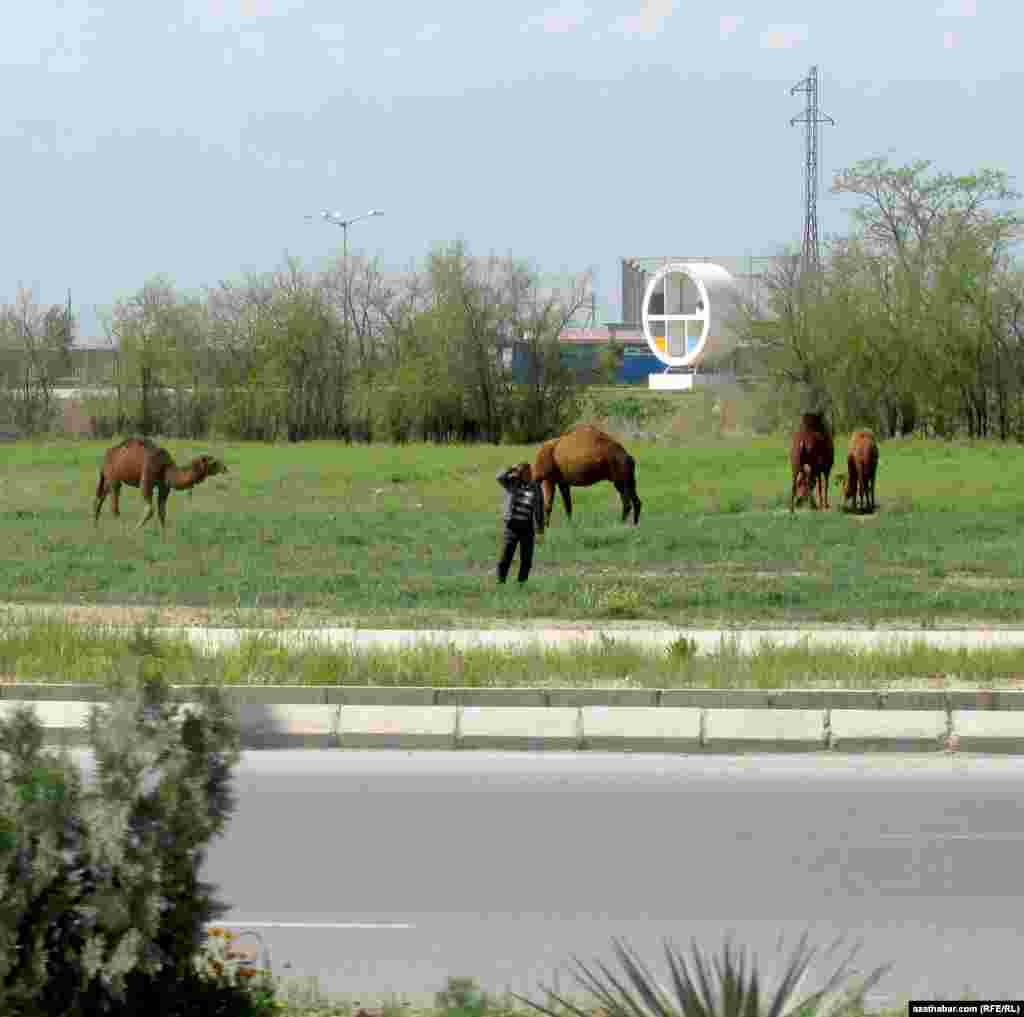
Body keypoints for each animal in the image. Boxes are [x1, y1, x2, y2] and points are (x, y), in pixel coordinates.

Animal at [94, 436, 230, 532]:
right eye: (214, 463)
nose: (225, 468)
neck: (166, 467)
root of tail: (106, 455)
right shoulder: (147, 479)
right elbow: (150, 509)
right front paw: (135, 530)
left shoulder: (164, 486)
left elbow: (162, 511)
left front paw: (163, 535)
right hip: (113, 477)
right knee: (114, 503)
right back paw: (119, 527)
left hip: (108, 478)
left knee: (101, 497)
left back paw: (95, 526)